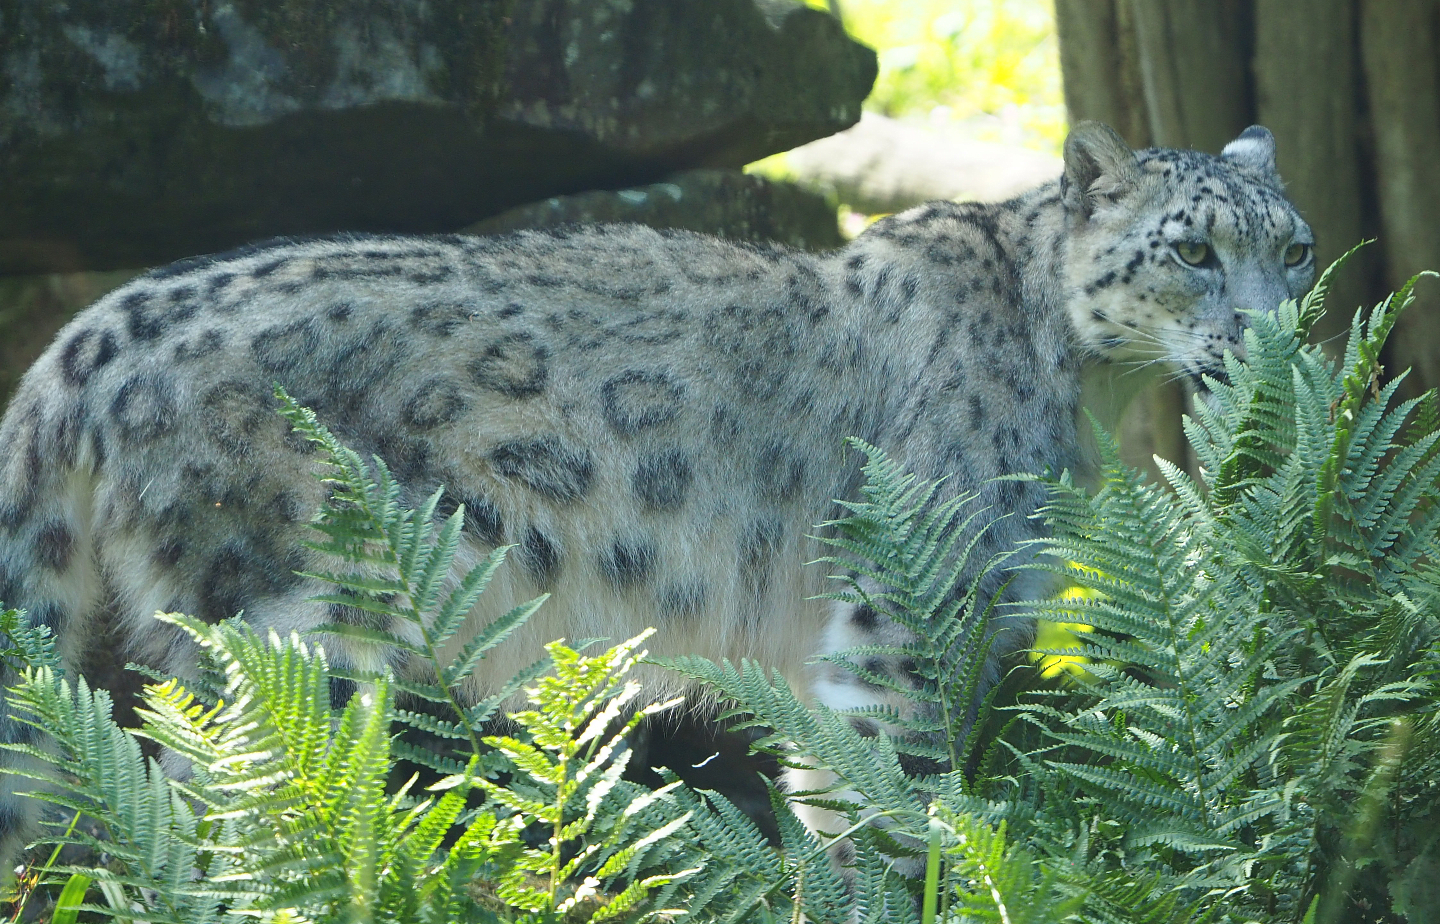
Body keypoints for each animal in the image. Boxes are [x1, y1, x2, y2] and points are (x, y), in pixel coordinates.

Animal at [0, 121, 1316, 873]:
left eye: (1292, 245)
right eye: (1193, 249)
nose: (1269, 325)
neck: (1082, 388)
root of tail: (84, 335)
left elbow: (834, 796)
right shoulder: (903, 620)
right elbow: (901, 803)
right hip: (295, 633)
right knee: (233, 810)